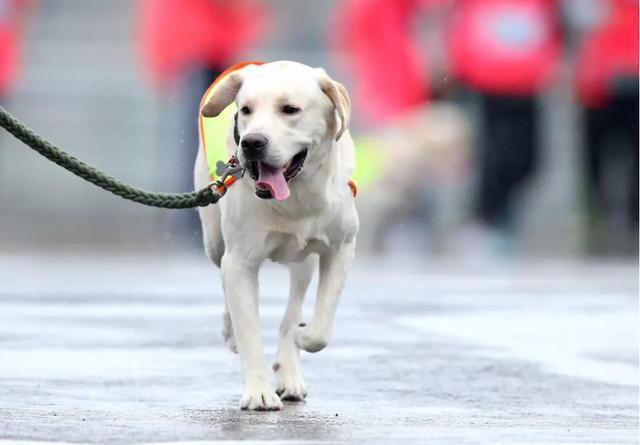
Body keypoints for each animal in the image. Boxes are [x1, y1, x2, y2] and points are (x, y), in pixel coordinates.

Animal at [192, 61, 358, 410]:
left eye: (290, 109)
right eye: (246, 110)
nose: (252, 142)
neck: (296, 197)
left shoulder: (341, 248)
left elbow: (321, 329)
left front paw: (303, 336)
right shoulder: (240, 261)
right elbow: (249, 331)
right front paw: (258, 392)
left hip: (304, 261)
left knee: (291, 309)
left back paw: (289, 369)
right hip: (214, 241)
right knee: (223, 278)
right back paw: (231, 332)